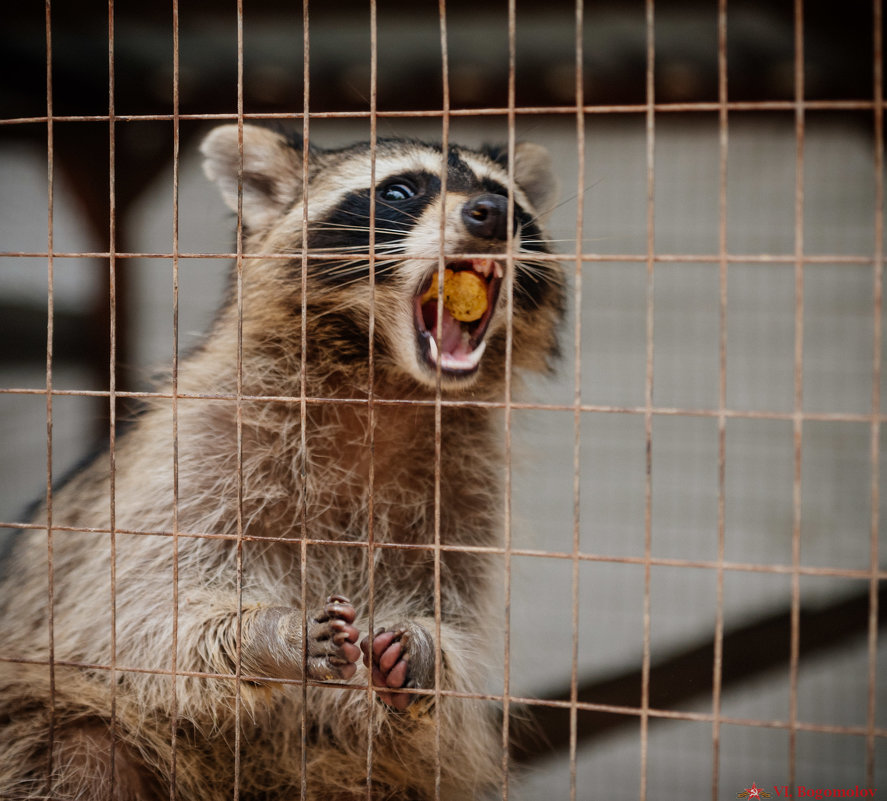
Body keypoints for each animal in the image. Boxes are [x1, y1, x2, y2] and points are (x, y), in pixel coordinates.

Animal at [0, 125, 564, 800]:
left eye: (507, 199)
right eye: (401, 190)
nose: (492, 213)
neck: (385, 379)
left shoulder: (463, 491)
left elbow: (453, 645)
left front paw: (430, 652)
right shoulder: (200, 446)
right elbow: (136, 614)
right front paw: (265, 636)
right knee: (78, 750)